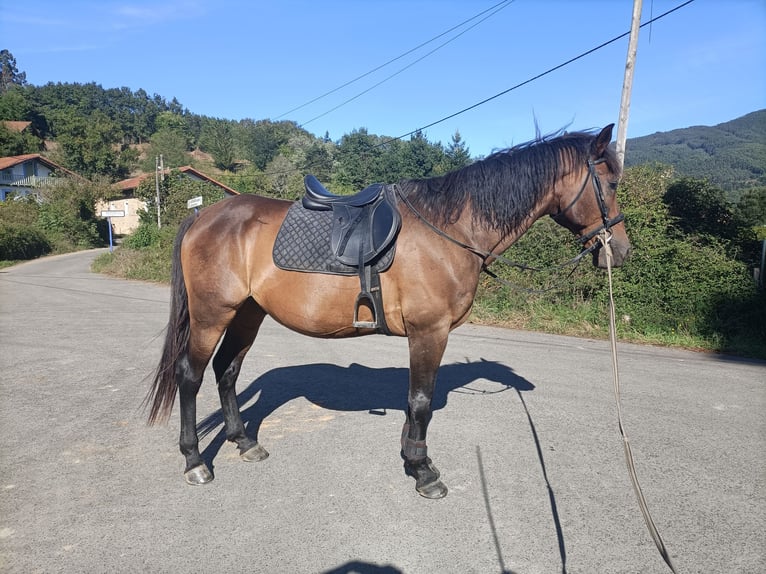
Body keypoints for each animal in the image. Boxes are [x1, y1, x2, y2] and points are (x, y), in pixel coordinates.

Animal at [146, 124, 631, 499]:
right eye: (609, 184)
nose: (620, 251)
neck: (452, 230)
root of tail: (205, 215)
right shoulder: (429, 331)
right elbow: (420, 401)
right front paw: (423, 471)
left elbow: (415, 404)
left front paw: (411, 458)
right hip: (213, 314)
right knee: (190, 376)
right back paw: (195, 461)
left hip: (247, 313)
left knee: (226, 370)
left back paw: (244, 442)